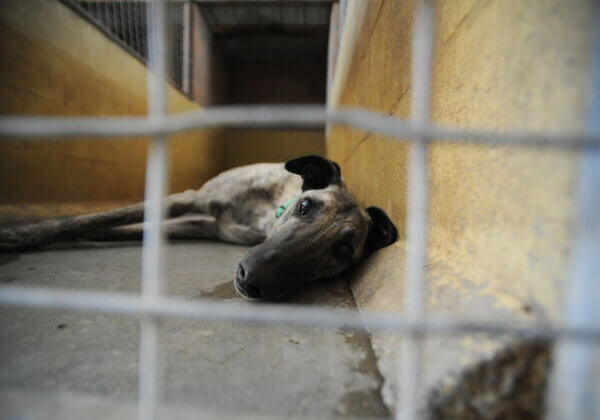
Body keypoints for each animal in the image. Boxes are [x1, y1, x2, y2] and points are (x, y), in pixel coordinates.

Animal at [0, 156, 396, 300]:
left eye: (342, 251)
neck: (267, 210)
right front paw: (19, 234)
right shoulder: (191, 200)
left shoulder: (203, 224)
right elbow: (96, 217)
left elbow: (124, 226)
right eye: (305, 206)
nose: (252, 280)